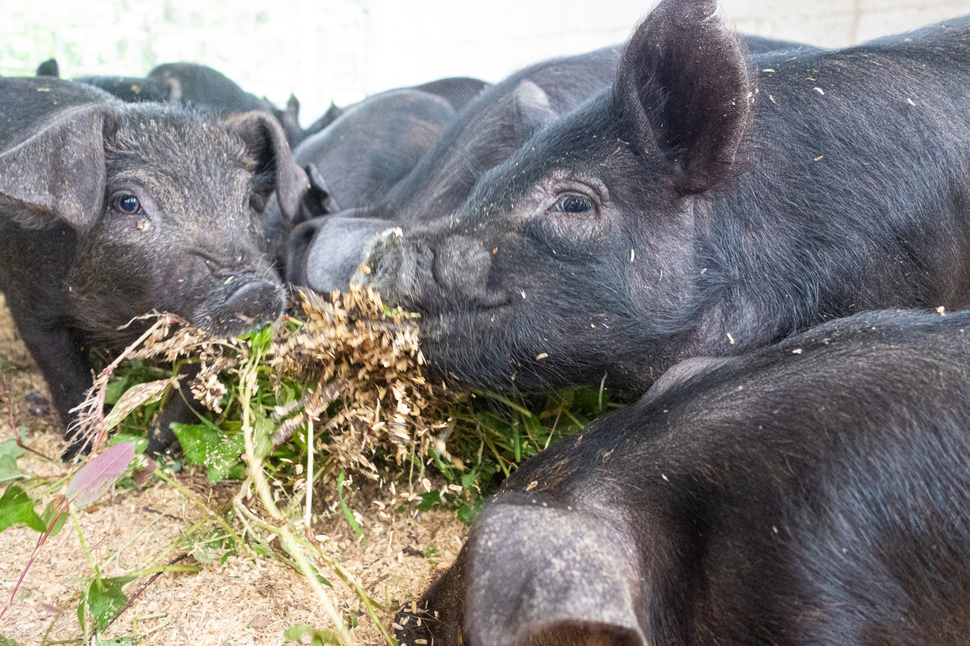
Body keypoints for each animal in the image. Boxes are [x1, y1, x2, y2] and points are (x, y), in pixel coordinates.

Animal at [0, 77, 306, 460]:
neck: (122, 315)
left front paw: (154, 453)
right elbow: (67, 381)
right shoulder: (30, 307)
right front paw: (81, 457)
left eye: (249, 202)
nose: (253, 290)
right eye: (128, 202)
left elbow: (188, 395)